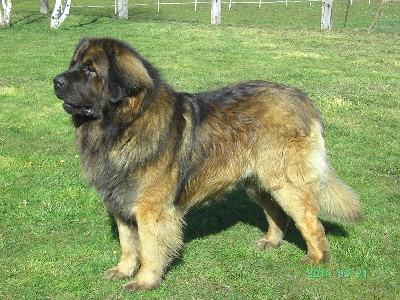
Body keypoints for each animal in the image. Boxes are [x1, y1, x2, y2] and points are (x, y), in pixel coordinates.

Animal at [51, 38, 360, 292]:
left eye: (90, 70)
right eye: (73, 64)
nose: (56, 81)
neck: (123, 126)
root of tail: (302, 98)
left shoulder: (150, 209)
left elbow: (149, 249)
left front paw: (144, 281)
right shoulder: (119, 199)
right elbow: (128, 244)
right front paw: (124, 270)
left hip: (286, 182)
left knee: (310, 221)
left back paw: (316, 258)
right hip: (257, 181)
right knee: (277, 214)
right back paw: (271, 241)